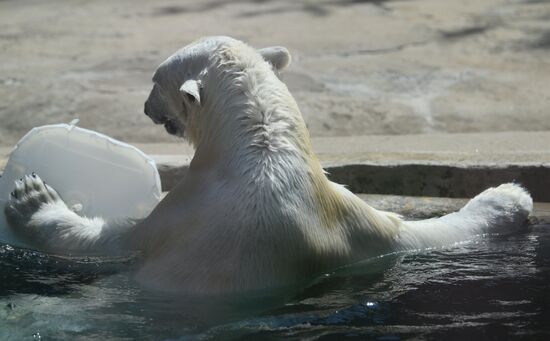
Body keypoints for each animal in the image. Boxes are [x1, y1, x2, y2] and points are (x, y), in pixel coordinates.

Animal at [4, 36, 536, 292]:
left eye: (154, 79)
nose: (145, 107)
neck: (263, 152)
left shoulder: (181, 218)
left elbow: (106, 242)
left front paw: (33, 196)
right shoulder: (356, 222)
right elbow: (425, 233)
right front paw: (509, 197)